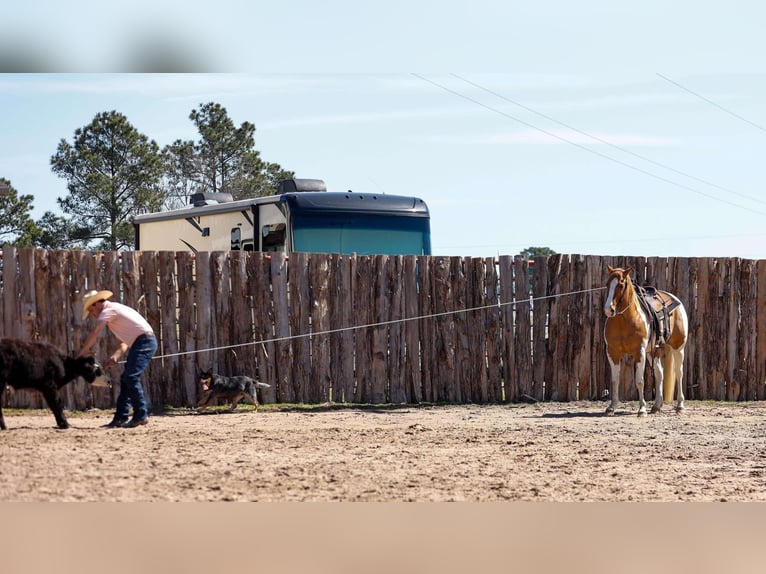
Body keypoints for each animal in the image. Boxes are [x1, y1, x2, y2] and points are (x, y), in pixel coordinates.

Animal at [604, 266, 692, 418]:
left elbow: (640, 381)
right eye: (608, 284)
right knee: (659, 373)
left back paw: (680, 406)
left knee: (679, 373)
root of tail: (674, 299)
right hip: (653, 351)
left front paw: (642, 409)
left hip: (678, 347)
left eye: (621, 285)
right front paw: (611, 407)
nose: (609, 309)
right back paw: (656, 406)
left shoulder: (639, 352)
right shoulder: (612, 352)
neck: (624, 320)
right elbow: (615, 380)